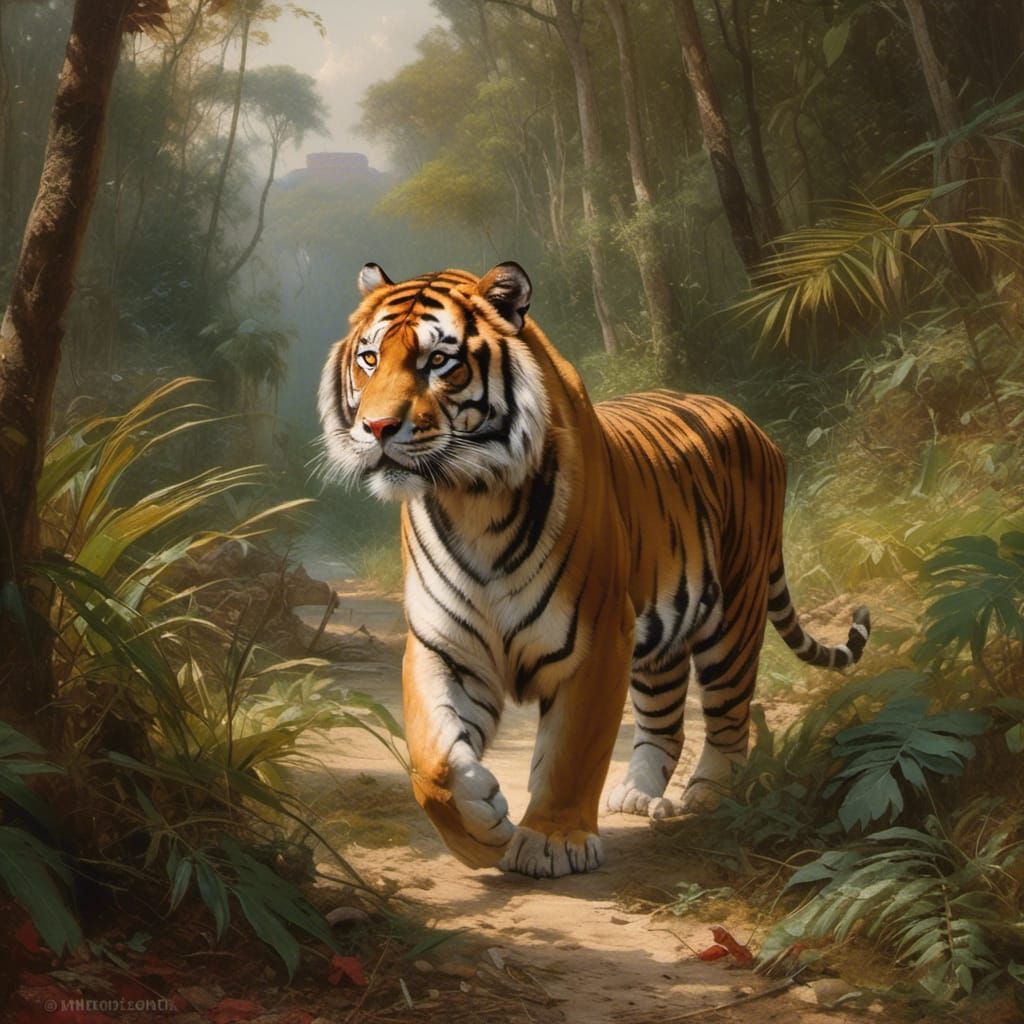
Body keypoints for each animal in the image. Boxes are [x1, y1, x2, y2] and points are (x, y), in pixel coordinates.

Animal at [318, 261, 871, 879]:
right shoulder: (445, 643)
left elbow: (572, 751)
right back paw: (635, 793)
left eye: (438, 360)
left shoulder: (598, 636)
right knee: (665, 715)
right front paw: (479, 831)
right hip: (662, 630)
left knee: (729, 712)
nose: (377, 428)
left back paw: (709, 794)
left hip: (735, 612)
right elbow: (432, 757)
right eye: (370, 359)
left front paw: (553, 841)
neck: (472, 500)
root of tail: (749, 421)